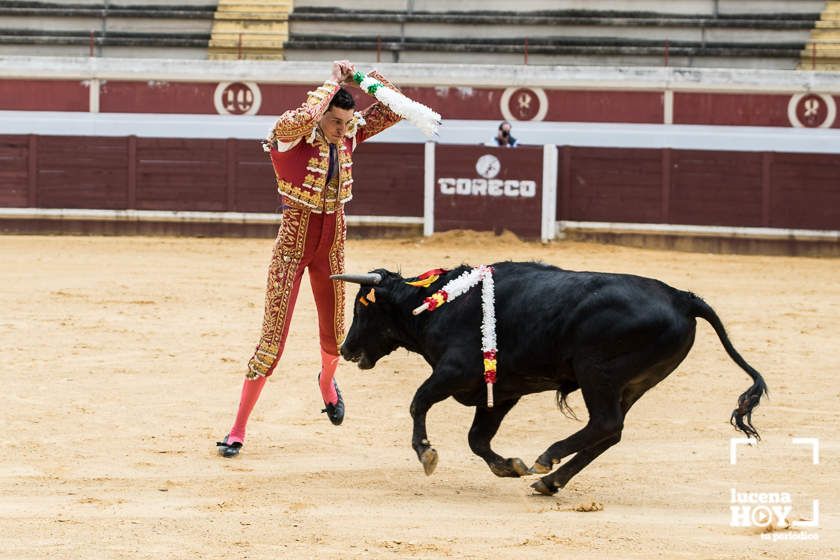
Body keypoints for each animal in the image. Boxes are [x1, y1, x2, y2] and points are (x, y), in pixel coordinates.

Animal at [330, 262, 768, 494]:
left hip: (598, 375)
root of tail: (682, 297)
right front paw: (509, 466)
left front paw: (426, 453)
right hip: (631, 386)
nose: (346, 349)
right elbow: (477, 439)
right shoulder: (501, 391)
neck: (438, 304)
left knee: (604, 424)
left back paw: (548, 459)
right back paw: (550, 480)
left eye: (362, 309)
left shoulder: (455, 372)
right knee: (609, 432)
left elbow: (418, 402)